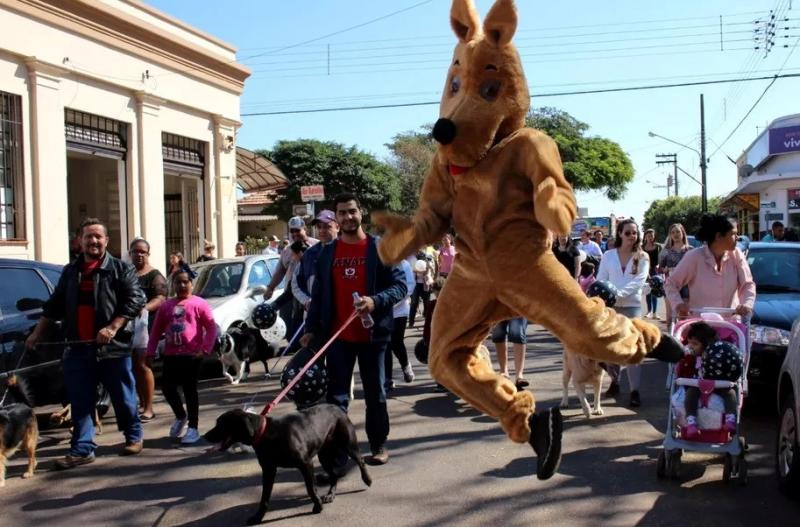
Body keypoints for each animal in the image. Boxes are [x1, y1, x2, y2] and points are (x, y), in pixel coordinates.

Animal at [203, 404, 372, 524]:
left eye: (221, 424)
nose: (204, 436)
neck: (265, 433)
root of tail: (337, 407)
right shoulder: (268, 470)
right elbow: (264, 498)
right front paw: (258, 517)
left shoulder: (306, 464)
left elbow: (311, 489)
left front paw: (317, 506)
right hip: (324, 456)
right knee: (334, 475)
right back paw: (330, 495)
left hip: (348, 444)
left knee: (360, 460)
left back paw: (367, 480)